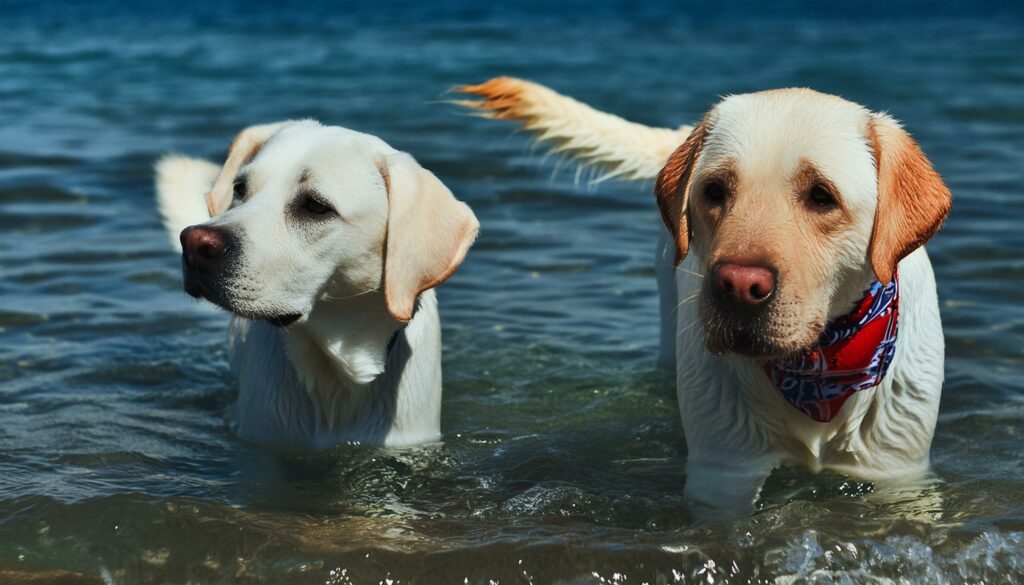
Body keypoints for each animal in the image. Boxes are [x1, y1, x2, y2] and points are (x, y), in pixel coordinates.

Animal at [458, 77, 950, 508]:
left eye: (821, 196)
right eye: (714, 191)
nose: (738, 286)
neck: (815, 368)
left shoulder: (897, 471)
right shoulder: (725, 470)